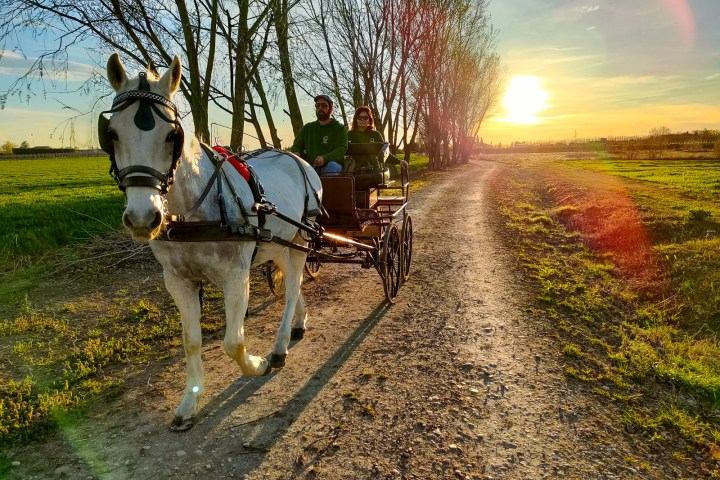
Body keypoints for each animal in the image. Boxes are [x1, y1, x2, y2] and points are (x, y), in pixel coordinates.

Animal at [99, 53, 323, 431]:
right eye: (111, 133)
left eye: (172, 135)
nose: (143, 218)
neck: (194, 211)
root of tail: (298, 158)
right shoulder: (178, 281)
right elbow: (191, 341)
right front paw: (190, 400)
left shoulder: (236, 275)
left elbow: (234, 342)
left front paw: (258, 364)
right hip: (278, 243)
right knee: (294, 283)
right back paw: (300, 321)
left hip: (302, 236)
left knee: (292, 288)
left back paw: (279, 347)